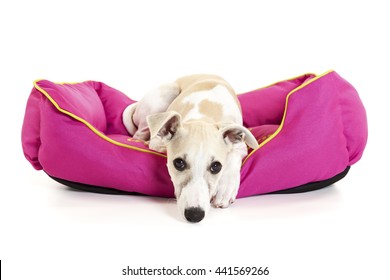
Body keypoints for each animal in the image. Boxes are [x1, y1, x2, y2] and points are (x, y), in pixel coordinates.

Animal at [123, 75, 258, 223]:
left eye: (216, 166)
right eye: (178, 163)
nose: (194, 215)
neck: (204, 114)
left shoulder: (241, 144)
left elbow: (233, 154)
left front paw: (225, 190)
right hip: (167, 93)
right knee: (139, 134)